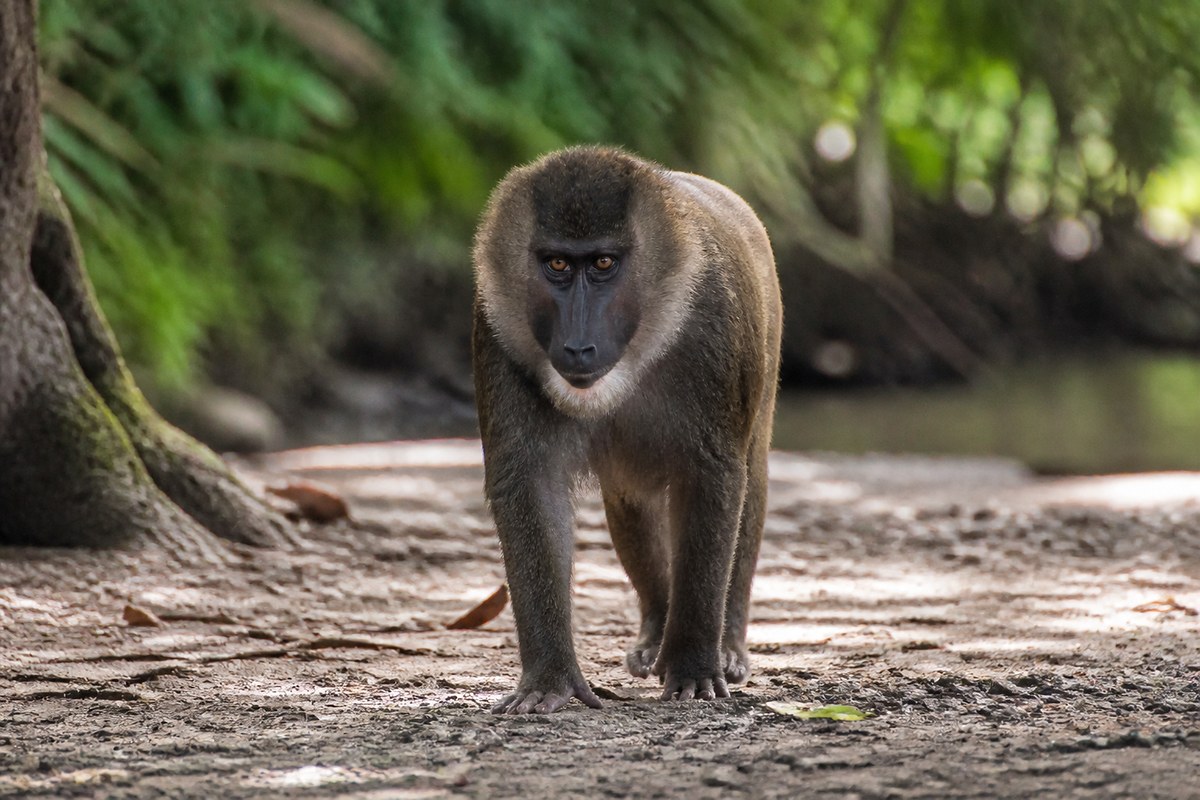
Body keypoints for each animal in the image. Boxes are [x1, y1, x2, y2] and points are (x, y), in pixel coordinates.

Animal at [472, 146, 781, 714]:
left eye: (603, 264)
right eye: (556, 264)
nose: (577, 345)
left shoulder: (712, 322)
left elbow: (714, 477)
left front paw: (694, 666)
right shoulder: (497, 324)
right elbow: (531, 485)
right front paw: (549, 678)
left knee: (752, 481)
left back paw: (724, 643)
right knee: (630, 498)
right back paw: (657, 626)